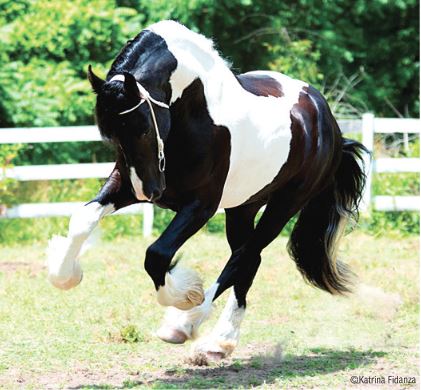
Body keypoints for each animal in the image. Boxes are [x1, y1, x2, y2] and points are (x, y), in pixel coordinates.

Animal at [46, 19, 366, 358]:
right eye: (109, 136)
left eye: (143, 128)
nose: (150, 193)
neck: (195, 114)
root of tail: (327, 120)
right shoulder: (126, 184)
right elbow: (82, 219)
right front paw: (66, 275)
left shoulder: (201, 205)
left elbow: (157, 254)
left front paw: (186, 295)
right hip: (243, 206)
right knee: (248, 260)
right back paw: (220, 341)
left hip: (284, 204)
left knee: (243, 257)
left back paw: (186, 325)